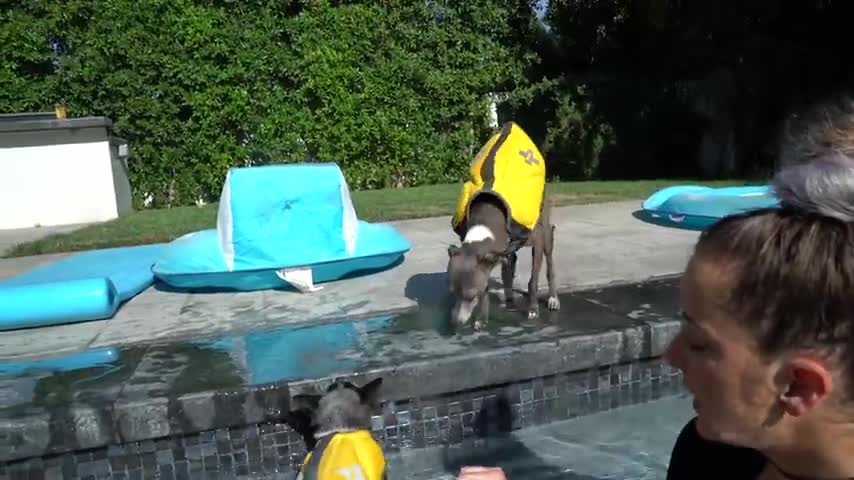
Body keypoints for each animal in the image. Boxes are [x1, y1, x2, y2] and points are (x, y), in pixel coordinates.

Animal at [448, 193, 560, 328]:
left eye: (472, 296)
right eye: (453, 292)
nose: (455, 322)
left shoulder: (537, 240)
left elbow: (533, 281)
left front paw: (533, 309)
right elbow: (486, 287)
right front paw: (482, 319)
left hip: (546, 235)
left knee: (549, 263)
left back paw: (553, 298)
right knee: (511, 262)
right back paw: (509, 295)